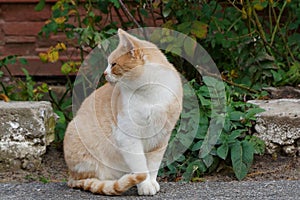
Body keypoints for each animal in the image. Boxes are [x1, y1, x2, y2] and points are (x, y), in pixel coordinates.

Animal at [63, 28, 183, 195]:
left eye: (113, 64)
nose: (104, 73)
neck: (150, 93)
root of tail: (70, 176)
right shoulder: (128, 138)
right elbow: (141, 165)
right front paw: (145, 185)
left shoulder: (161, 139)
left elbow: (153, 165)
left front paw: (151, 183)